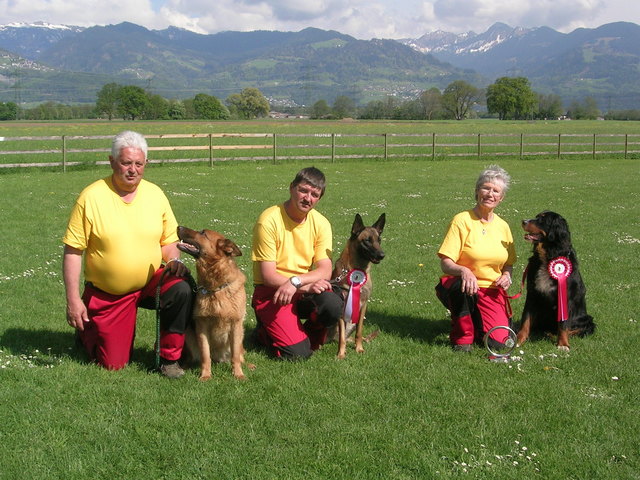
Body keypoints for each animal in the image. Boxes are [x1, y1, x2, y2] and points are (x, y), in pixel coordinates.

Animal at [178, 227, 255, 380]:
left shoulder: (236, 324)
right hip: (189, 334)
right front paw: (205, 375)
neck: (215, 288)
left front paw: (238, 374)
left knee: (239, 354)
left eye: (203, 233)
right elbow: (205, 355)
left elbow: (235, 356)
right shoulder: (202, 325)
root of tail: (218, 359)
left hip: (240, 335)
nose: (178, 227)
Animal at [330, 213, 384, 356]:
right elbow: (342, 337)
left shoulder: (364, 305)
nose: (382, 255)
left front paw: (359, 348)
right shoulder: (342, 305)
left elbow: (359, 332)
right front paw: (341, 354)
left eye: (379, 240)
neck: (357, 269)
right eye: (367, 241)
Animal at [516, 212, 596, 350]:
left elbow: (563, 325)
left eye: (542, 220)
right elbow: (525, 320)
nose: (523, 221)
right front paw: (518, 340)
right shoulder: (532, 294)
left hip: (587, 319)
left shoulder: (565, 298)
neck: (548, 256)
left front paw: (563, 344)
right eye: (536, 216)